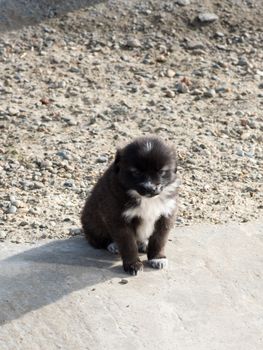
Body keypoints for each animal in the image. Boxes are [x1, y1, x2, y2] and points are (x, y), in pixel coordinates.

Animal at [81, 137, 180, 276]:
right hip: (93, 223)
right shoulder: (119, 218)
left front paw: (157, 258)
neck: (146, 199)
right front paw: (133, 265)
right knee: (99, 239)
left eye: (161, 171)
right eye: (136, 172)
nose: (150, 188)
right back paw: (113, 245)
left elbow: (159, 239)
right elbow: (128, 244)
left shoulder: (166, 214)